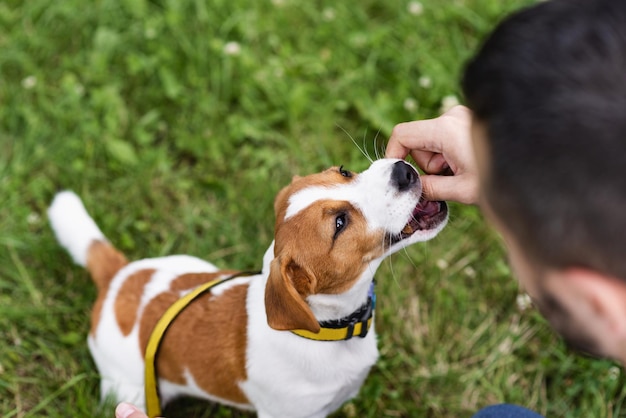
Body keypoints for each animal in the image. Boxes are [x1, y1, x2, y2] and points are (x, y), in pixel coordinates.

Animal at [50, 158, 448, 416]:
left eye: (345, 172)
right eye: (339, 223)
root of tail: (117, 276)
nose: (402, 170)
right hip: (128, 387)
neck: (328, 330)